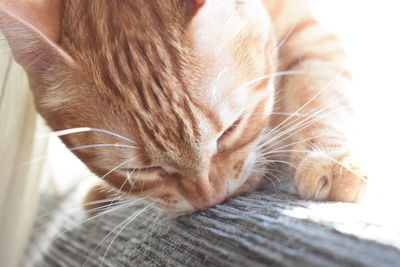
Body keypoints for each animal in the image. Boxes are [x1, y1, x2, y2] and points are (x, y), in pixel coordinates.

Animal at [0, 0, 368, 216]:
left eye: (230, 130)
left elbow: (318, 85)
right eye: (141, 171)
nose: (209, 199)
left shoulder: (304, 27)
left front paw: (328, 157)